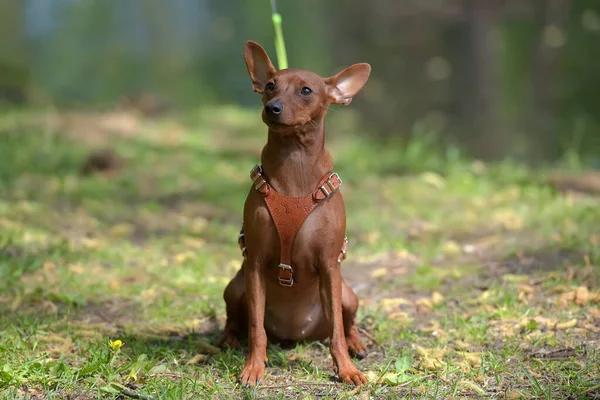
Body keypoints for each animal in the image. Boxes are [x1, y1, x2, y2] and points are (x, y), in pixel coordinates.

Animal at [220, 41, 370, 388]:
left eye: (306, 90)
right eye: (270, 86)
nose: (273, 108)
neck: (295, 166)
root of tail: (297, 335)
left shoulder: (329, 266)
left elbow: (337, 333)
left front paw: (346, 370)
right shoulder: (254, 263)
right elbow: (256, 328)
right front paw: (253, 368)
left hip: (347, 294)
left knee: (347, 324)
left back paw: (357, 345)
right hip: (235, 286)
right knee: (234, 319)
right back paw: (228, 340)